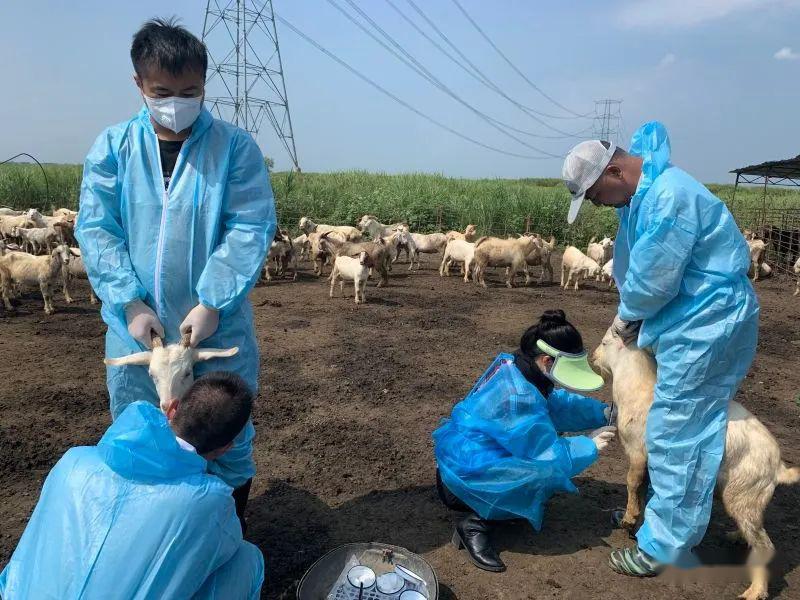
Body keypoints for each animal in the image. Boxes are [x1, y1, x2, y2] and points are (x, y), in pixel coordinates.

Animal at [592, 326, 796, 600]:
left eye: (605, 342)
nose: (592, 357)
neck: (637, 388)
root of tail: (778, 467)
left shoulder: (637, 452)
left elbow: (633, 484)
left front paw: (628, 518)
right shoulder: (650, 460)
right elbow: (645, 489)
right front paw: (636, 522)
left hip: (744, 491)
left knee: (765, 546)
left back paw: (755, 591)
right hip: (749, 497)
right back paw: (736, 536)